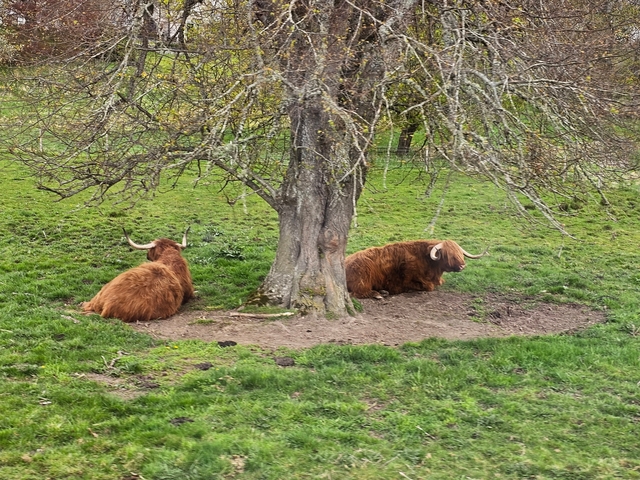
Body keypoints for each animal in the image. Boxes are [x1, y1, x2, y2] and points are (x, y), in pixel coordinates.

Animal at [345, 240, 486, 299]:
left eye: (459, 253)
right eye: (449, 255)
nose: (462, 266)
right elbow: (428, 287)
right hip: (363, 279)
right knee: (358, 293)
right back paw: (379, 294)